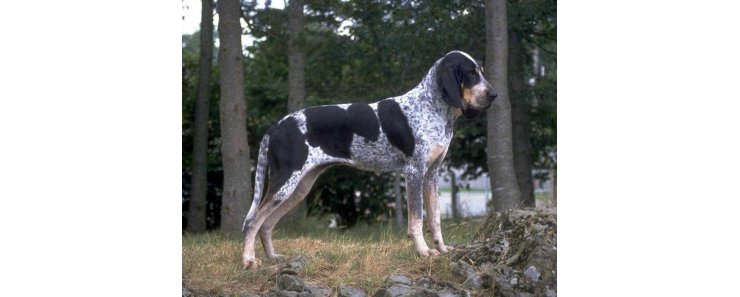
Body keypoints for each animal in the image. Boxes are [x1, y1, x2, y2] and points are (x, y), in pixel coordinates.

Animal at [243, 49, 498, 268]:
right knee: (252, 221)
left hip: (299, 188)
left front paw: (442, 249)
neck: (431, 107)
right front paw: (423, 252)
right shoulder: (414, 174)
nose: (494, 94)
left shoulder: (431, 176)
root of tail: (275, 127)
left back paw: (273, 257)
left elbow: (434, 220)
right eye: (471, 73)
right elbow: (416, 220)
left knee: (266, 224)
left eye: (482, 70)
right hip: (285, 184)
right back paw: (248, 261)